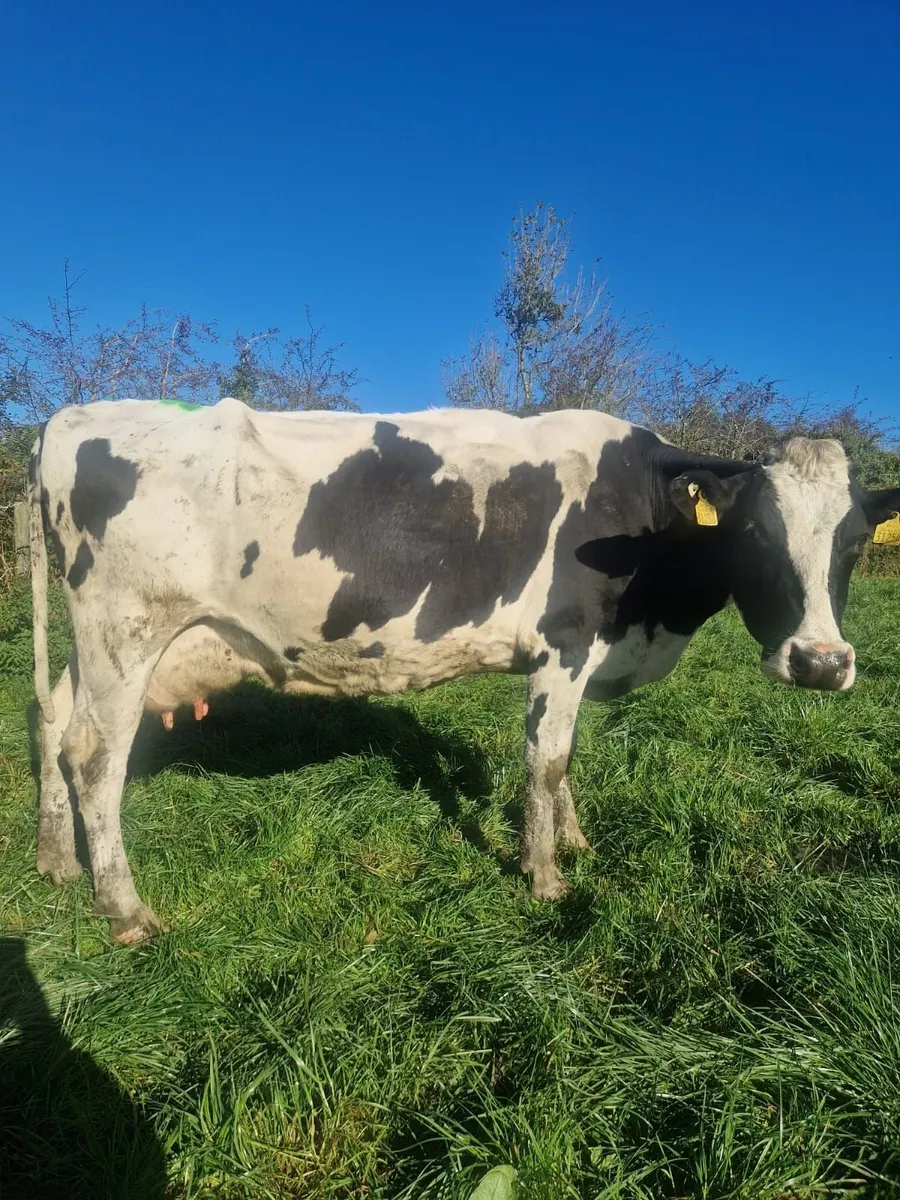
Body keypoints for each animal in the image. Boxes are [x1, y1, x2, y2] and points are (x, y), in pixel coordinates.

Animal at [28, 398, 900, 944]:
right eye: (755, 533)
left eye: (855, 539)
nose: (821, 662)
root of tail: (73, 416)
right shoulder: (564, 643)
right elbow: (545, 760)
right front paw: (545, 875)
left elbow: (564, 762)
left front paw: (575, 840)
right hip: (127, 631)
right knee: (96, 760)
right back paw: (125, 909)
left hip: (95, 646)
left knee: (51, 725)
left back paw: (56, 862)